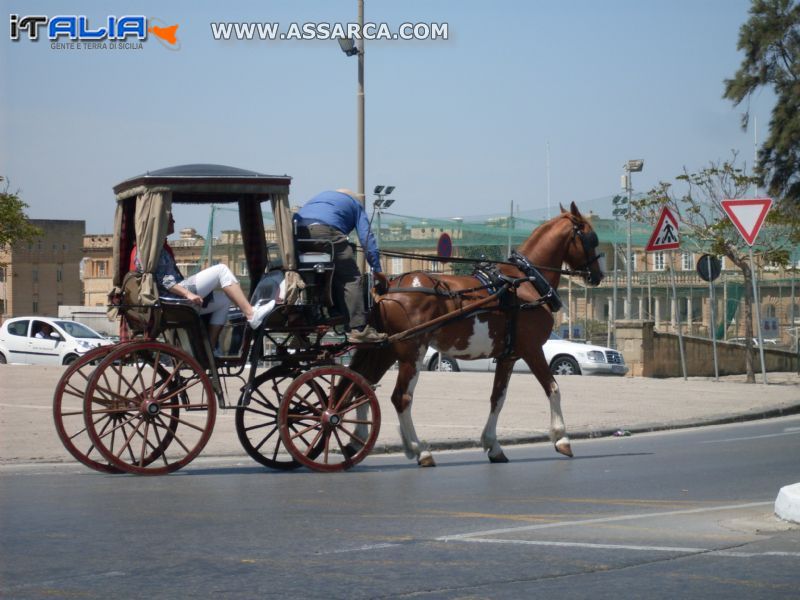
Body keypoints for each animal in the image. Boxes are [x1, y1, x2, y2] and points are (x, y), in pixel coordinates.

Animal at [346, 202, 604, 464]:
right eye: (592, 238)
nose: (598, 275)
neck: (526, 281)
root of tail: (388, 287)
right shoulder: (532, 349)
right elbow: (553, 388)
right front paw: (561, 438)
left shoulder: (508, 356)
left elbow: (497, 398)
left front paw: (493, 444)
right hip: (411, 353)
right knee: (400, 398)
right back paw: (419, 449)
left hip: (386, 350)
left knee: (361, 385)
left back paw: (357, 440)